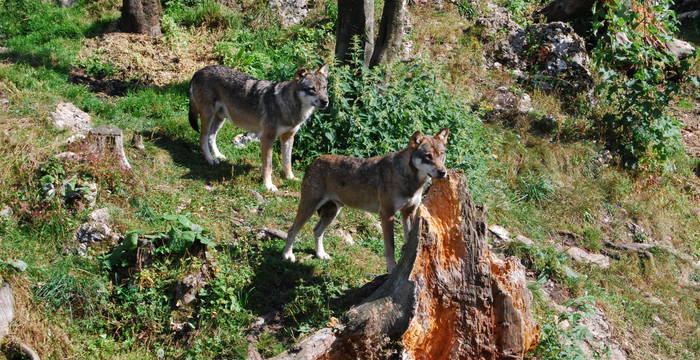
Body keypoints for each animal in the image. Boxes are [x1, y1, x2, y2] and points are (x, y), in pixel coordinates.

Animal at [186, 63, 328, 191]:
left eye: (325, 88)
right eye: (312, 89)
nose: (326, 102)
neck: (287, 106)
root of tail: (199, 71)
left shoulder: (288, 138)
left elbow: (287, 162)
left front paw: (290, 178)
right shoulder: (267, 139)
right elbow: (268, 166)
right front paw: (268, 186)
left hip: (220, 119)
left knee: (211, 136)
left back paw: (218, 156)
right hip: (208, 116)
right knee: (203, 138)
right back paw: (210, 159)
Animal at [282, 128, 452, 272]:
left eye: (441, 154)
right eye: (428, 156)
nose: (443, 172)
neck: (410, 180)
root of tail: (314, 161)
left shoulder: (408, 212)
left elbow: (408, 238)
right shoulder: (387, 215)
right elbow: (390, 247)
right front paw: (392, 268)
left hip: (332, 213)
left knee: (316, 231)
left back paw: (320, 254)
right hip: (309, 208)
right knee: (292, 230)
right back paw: (287, 255)